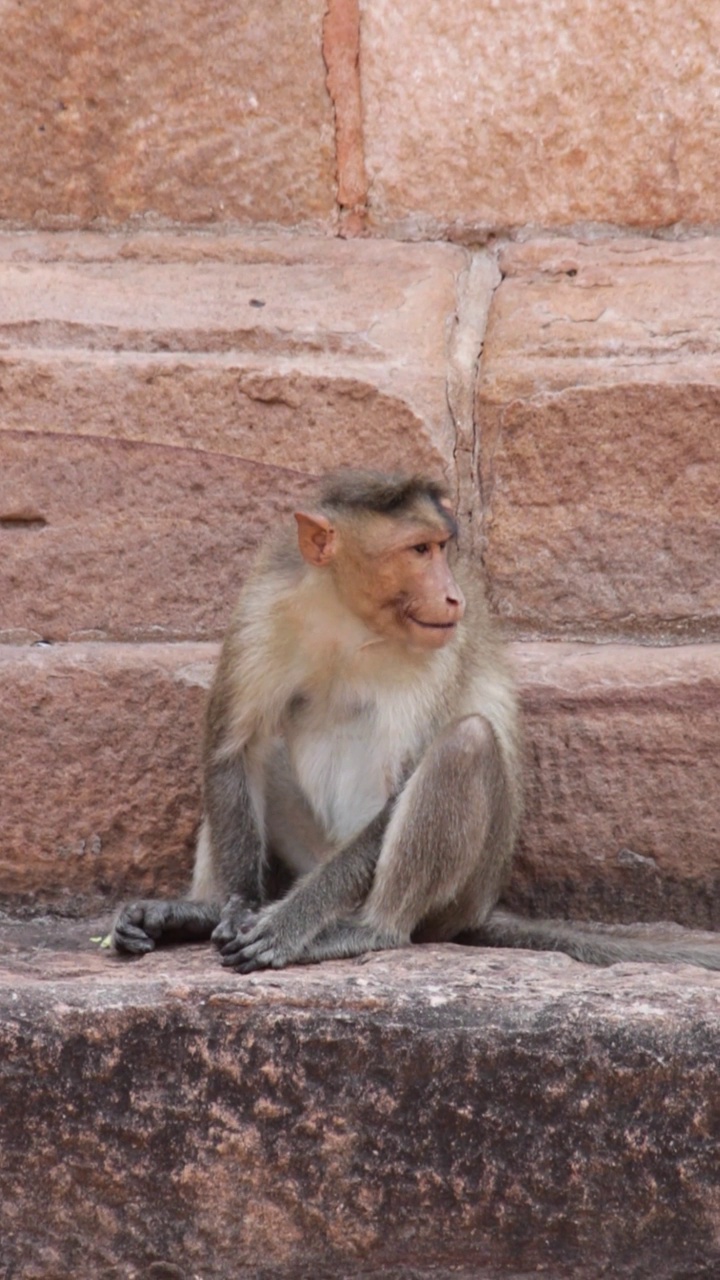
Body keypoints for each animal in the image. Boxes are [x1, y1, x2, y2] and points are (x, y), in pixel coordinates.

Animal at [112, 471, 717, 967]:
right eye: (420, 549)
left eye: (442, 548)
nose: (451, 596)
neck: (351, 617)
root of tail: (480, 909)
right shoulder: (264, 606)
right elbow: (234, 748)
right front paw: (233, 906)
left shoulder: (438, 651)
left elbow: (404, 785)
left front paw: (286, 924)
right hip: (311, 851)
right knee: (265, 756)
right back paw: (196, 912)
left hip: (458, 894)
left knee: (465, 745)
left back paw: (369, 930)